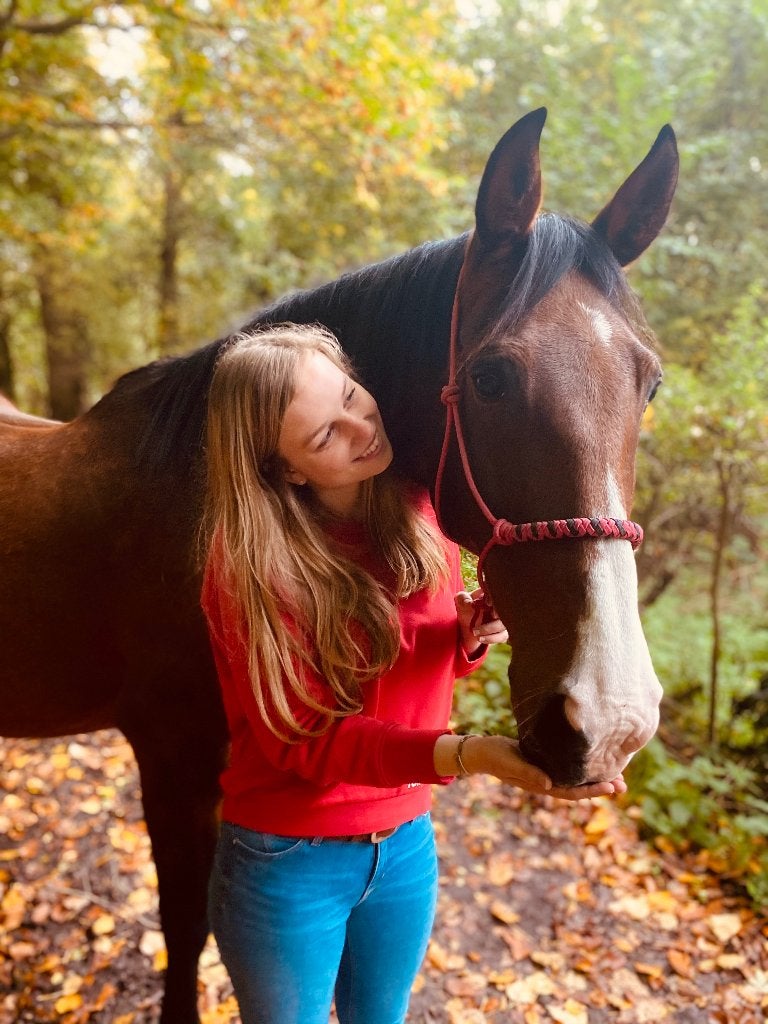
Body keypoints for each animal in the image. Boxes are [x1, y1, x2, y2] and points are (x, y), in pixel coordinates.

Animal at [0, 109, 678, 1023]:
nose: (610, 719)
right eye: (490, 377)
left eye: (649, 384)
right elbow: (184, 928)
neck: (199, 502)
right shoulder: (172, 760)